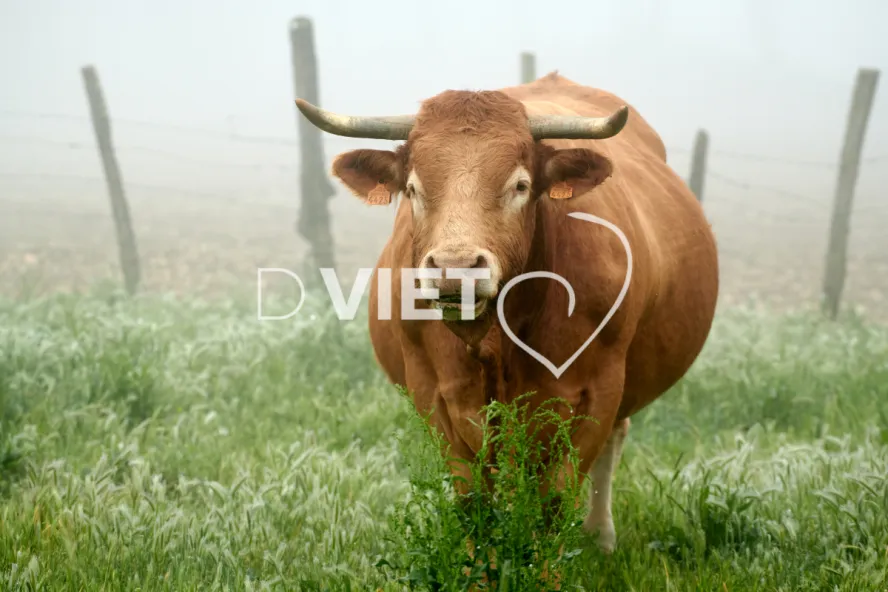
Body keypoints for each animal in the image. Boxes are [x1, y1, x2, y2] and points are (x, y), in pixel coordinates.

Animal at [296, 72, 719, 554]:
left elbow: (554, 503)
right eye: (413, 189)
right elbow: (473, 504)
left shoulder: (599, 391)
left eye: (519, 185)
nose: (455, 267)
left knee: (613, 443)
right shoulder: (435, 395)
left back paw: (599, 536)